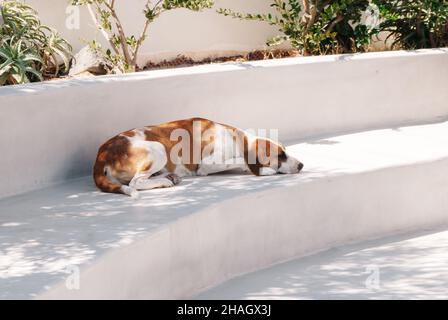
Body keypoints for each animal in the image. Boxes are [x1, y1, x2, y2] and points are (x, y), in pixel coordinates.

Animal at [94, 117, 304, 196]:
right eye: (281, 155)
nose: (301, 165)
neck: (238, 140)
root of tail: (102, 154)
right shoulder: (206, 165)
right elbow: (239, 160)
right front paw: (264, 170)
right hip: (158, 149)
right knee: (135, 183)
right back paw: (164, 181)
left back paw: (168, 176)